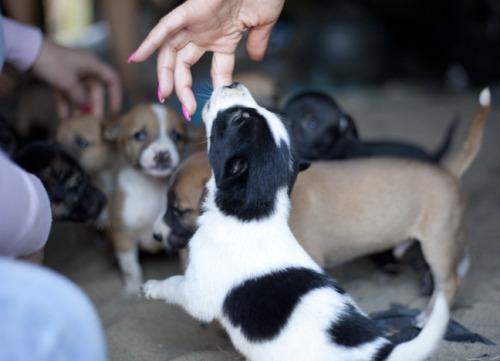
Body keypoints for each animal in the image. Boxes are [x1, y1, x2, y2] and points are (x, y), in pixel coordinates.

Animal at [107, 102, 188, 294]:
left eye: (176, 136)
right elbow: (130, 267)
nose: (162, 154)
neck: (151, 186)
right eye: (140, 135)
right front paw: (132, 290)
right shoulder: (123, 235)